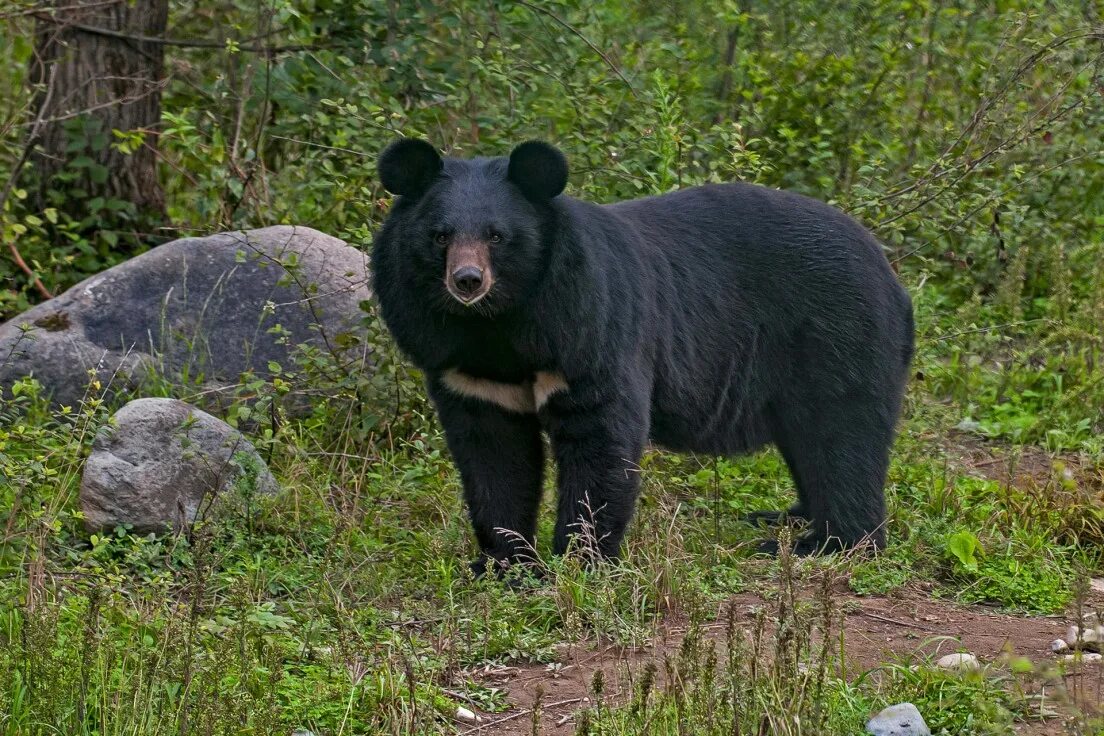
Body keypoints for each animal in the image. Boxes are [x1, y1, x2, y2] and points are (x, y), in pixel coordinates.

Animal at [370, 139, 914, 569]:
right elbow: (492, 453)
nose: (467, 281)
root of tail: (890, 274)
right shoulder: (464, 366)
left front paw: (580, 560)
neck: (499, 324)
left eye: (496, 236)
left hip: (837, 335)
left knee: (842, 435)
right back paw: (785, 517)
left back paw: (827, 542)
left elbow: (600, 436)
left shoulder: (588, 327)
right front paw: (505, 563)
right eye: (440, 235)